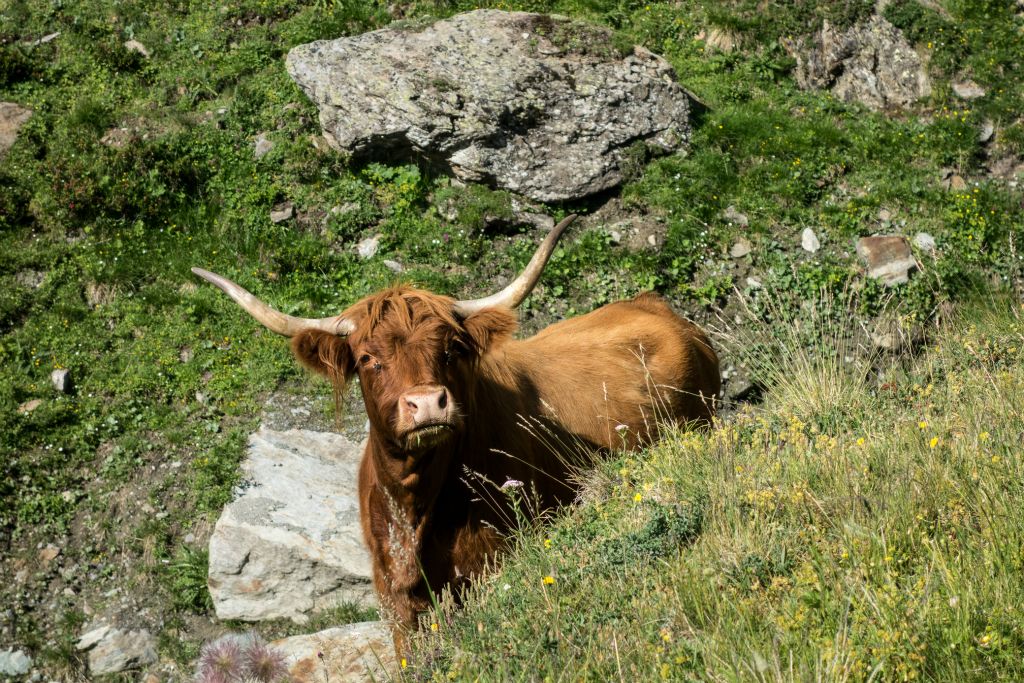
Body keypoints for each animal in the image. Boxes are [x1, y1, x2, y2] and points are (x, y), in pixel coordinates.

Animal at [193, 216, 720, 655]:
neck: (414, 506)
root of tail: (657, 307)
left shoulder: (490, 568)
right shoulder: (395, 598)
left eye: (450, 349)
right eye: (367, 358)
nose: (427, 403)